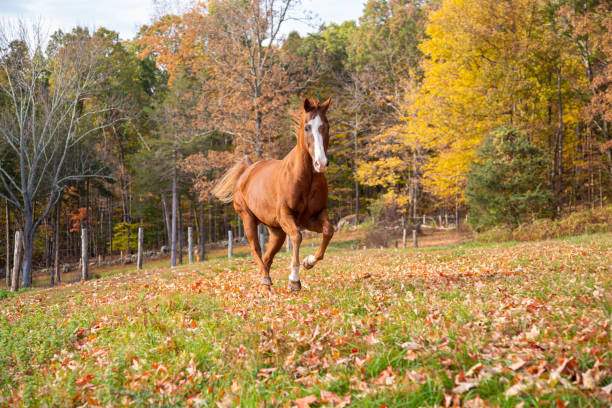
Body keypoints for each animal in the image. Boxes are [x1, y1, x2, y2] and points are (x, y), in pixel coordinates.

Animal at [212, 97, 334, 292]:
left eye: (326, 126)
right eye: (307, 127)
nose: (320, 163)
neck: (305, 177)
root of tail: (247, 170)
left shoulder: (313, 216)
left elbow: (328, 231)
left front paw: (308, 262)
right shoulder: (286, 214)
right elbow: (297, 237)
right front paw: (294, 280)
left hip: (276, 231)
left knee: (268, 257)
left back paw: (267, 287)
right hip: (248, 219)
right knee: (257, 250)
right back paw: (265, 280)